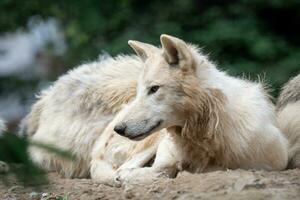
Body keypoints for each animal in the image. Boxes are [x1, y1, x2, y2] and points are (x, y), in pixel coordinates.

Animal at [24, 34, 290, 186]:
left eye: (154, 89)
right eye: (140, 90)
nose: (119, 128)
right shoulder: (164, 152)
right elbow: (147, 171)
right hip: (148, 142)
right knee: (124, 169)